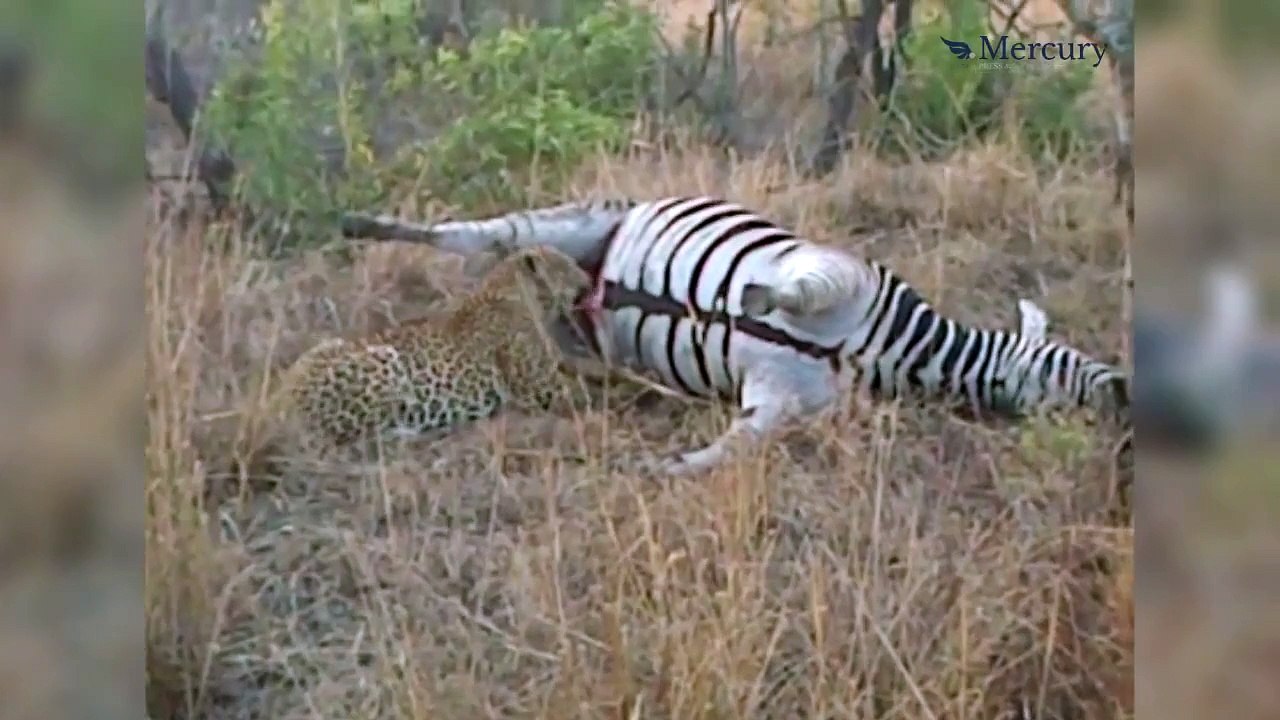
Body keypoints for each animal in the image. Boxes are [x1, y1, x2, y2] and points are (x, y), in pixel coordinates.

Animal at [264, 245, 594, 458]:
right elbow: (587, 390)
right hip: (384, 360)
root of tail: (284, 403)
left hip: (327, 346)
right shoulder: (541, 386)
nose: (589, 280)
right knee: (365, 438)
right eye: (568, 266)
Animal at [341, 196, 1130, 475]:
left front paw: (668, 467)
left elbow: (736, 446)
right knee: (474, 235)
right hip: (566, 221)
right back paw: (359, 223)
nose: (1125, 390)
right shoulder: (836, 272)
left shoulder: (782, 400)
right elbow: (791, 289)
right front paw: (747, 296)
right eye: (1065, 362)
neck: (872, 349)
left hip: (570, 318)